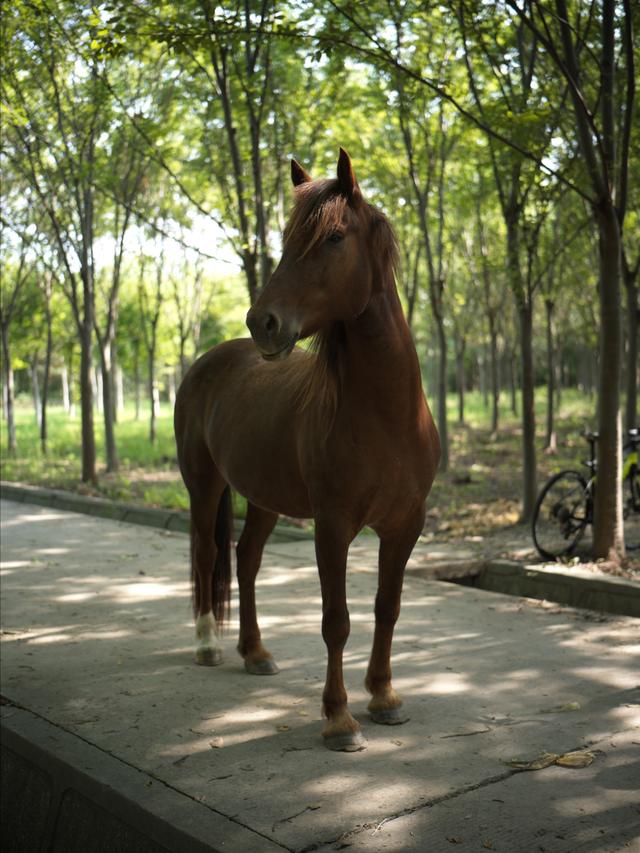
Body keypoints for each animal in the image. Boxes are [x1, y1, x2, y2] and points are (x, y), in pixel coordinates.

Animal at [174, 150, 440, 748]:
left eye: (334, 237)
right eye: (288, 238)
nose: (263, 322)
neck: (386, 417)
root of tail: (209, 361)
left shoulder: (405, 525)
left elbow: (387, 609)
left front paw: (384, 696)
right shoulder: (332, 525)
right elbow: (335, 620)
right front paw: (338, 718)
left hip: (263, 498)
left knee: (245, 560)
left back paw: (255, 653)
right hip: (204, 486)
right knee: (206, 554)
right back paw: (207, 644)